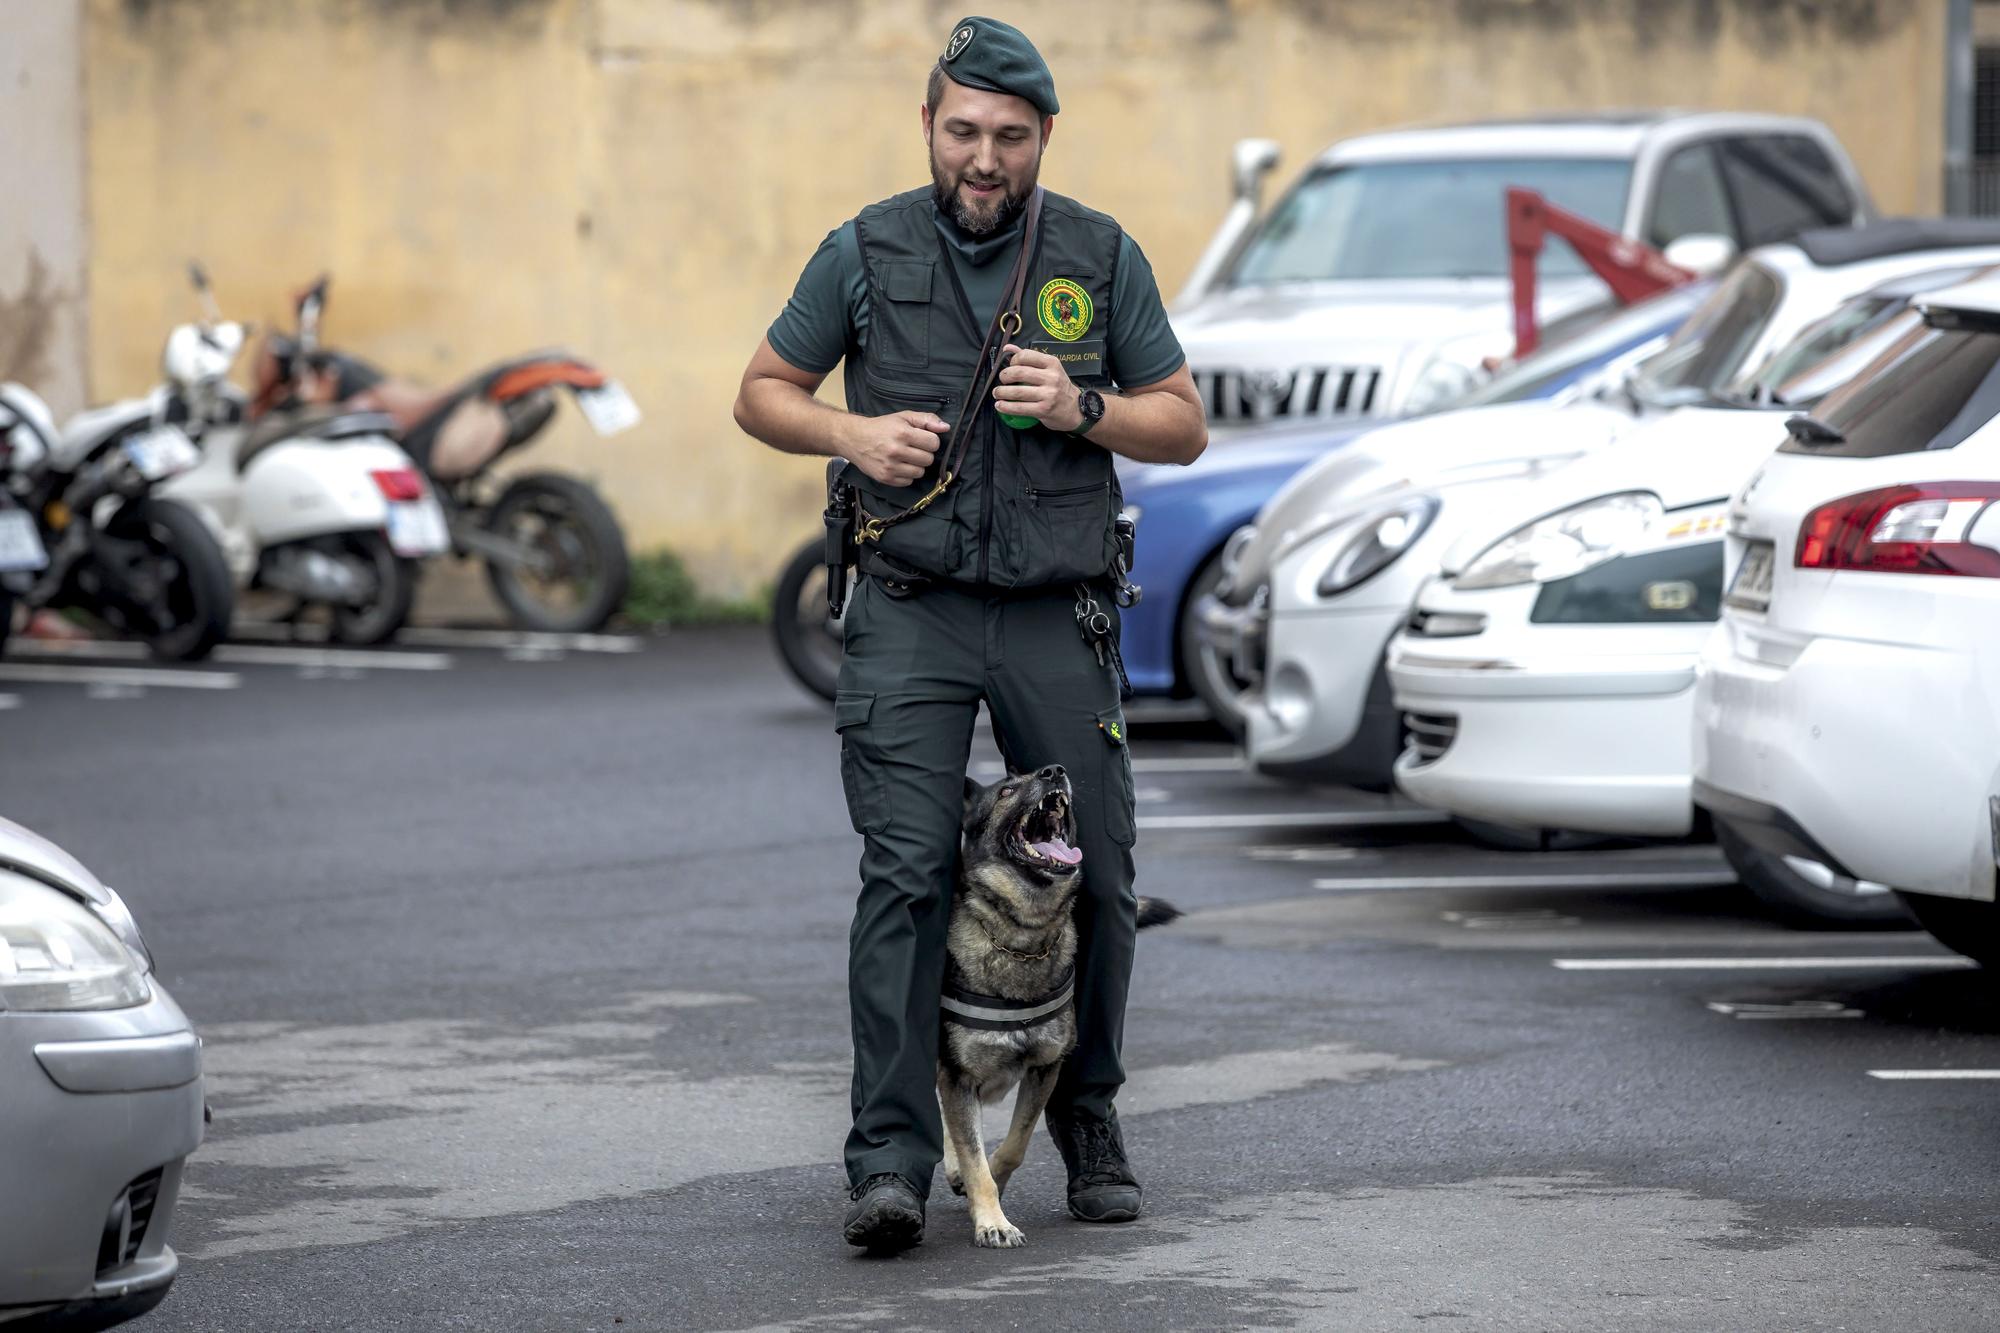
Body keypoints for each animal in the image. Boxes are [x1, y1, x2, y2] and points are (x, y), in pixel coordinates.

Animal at [940, 764, 1176, 1240]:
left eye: (1036, 774)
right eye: (1006, 790)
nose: (1054, 771)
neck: (1021, 934)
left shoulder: (1045, 1068)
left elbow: (1013, 1146)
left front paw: (991, 1182)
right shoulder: (959, 1075)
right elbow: (972, 1153)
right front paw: (992, 1221)